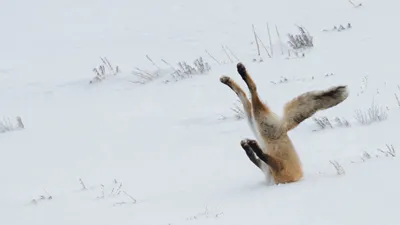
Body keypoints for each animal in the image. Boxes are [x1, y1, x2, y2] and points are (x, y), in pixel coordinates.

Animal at [220, 62, 348, 185]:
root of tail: (284, 127)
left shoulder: (278, 168)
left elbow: (260, 156)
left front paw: (251, 146)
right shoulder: (270, 167)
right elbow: (255, 157)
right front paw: (248, 146)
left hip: (260, 123)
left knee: (252, 91)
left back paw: (240, 72)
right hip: (256, 123)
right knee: (244, 96)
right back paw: (229, 79)